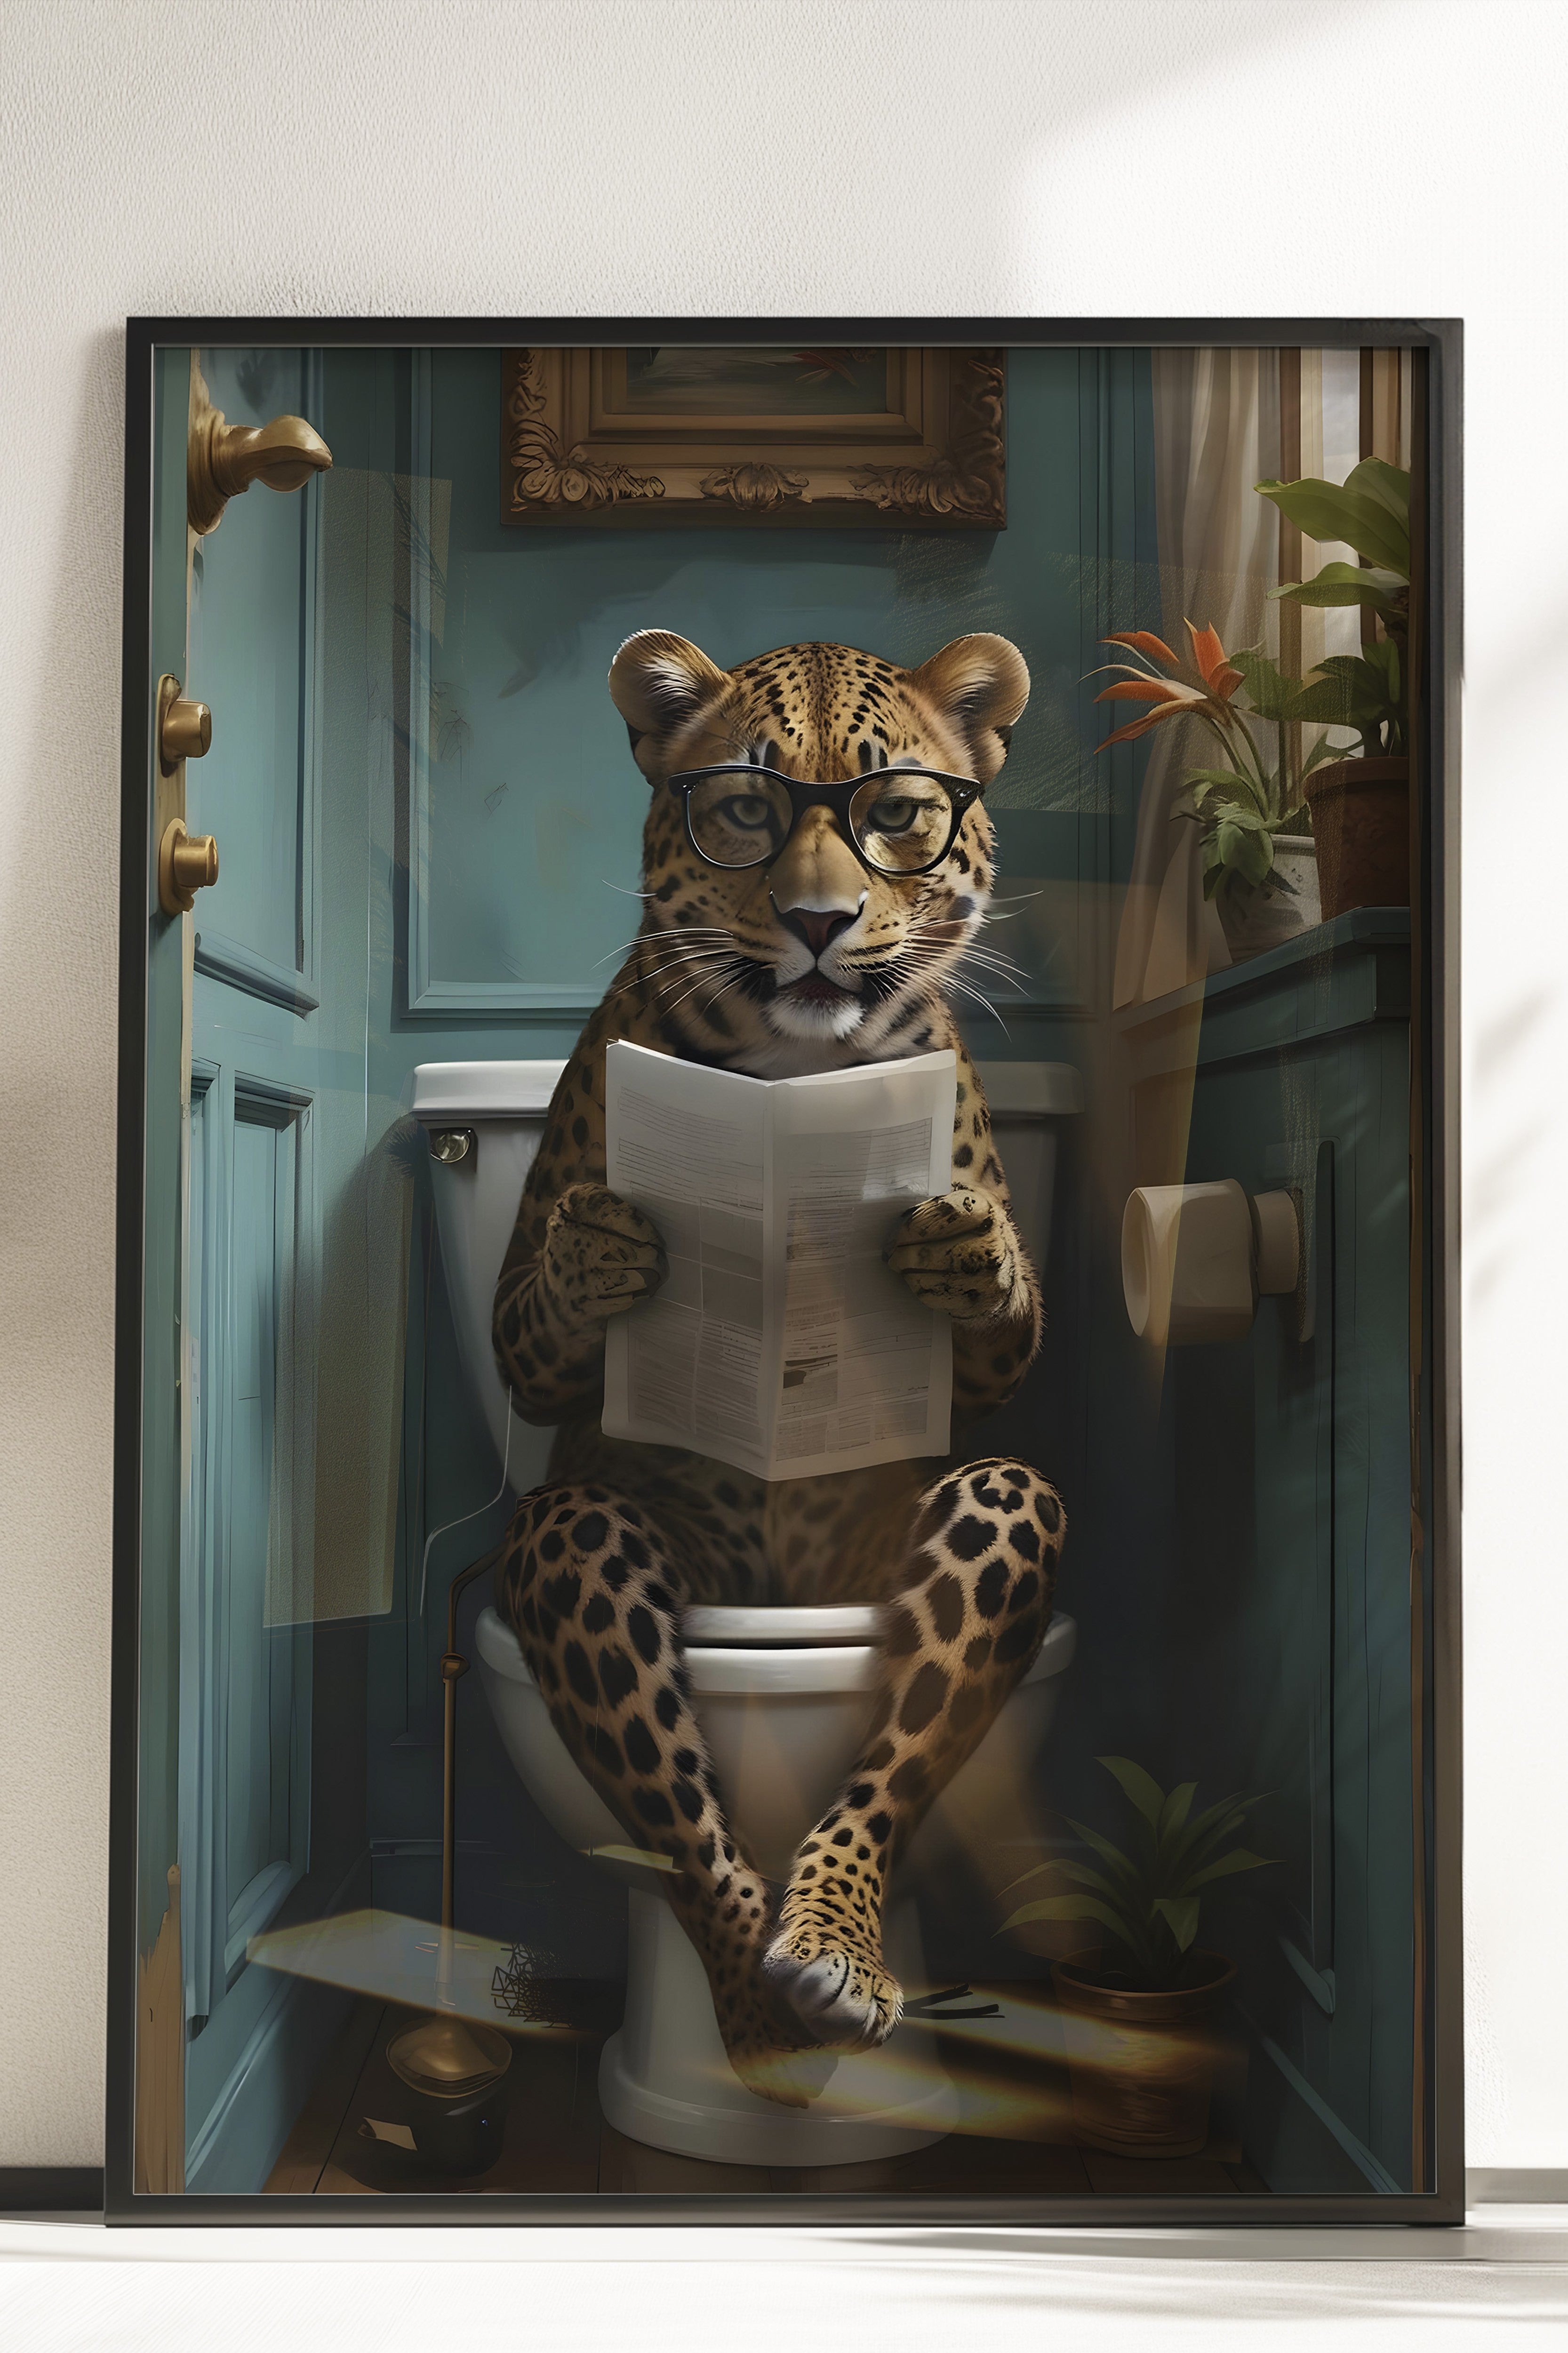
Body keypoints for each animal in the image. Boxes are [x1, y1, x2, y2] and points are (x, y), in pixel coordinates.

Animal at [490, 628, 1066, 2107]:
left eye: (896, 812)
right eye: (745, 807)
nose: (816, 921)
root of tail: (776, 1596)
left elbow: (1000, 1342)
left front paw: (965, 1251)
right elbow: (531, 1339)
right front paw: (605, 1250)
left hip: (953, 1532)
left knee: (901, 1727)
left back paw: (838, 1952)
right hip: (595, 1543)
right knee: (683, 1802)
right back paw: (762, 2019)